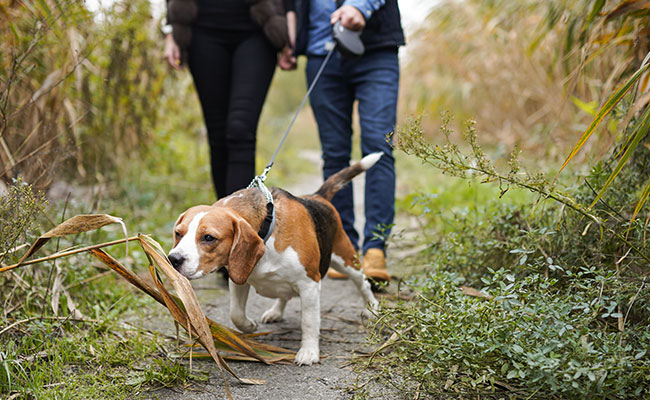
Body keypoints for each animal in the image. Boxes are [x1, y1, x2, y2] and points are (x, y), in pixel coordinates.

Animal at [167, 152, 380, 364]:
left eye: (209, 237)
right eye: (178, 233)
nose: (173, 259)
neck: (267, 229)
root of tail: (317, 196)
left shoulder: (309, 284)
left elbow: (309, 321)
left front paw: (309, 351)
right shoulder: (239, 277)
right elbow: (236, 313)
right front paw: (248, 326)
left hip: (346, 261)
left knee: (363, 283)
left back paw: (373, 307)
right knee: (283, 294)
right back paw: (275, 312)